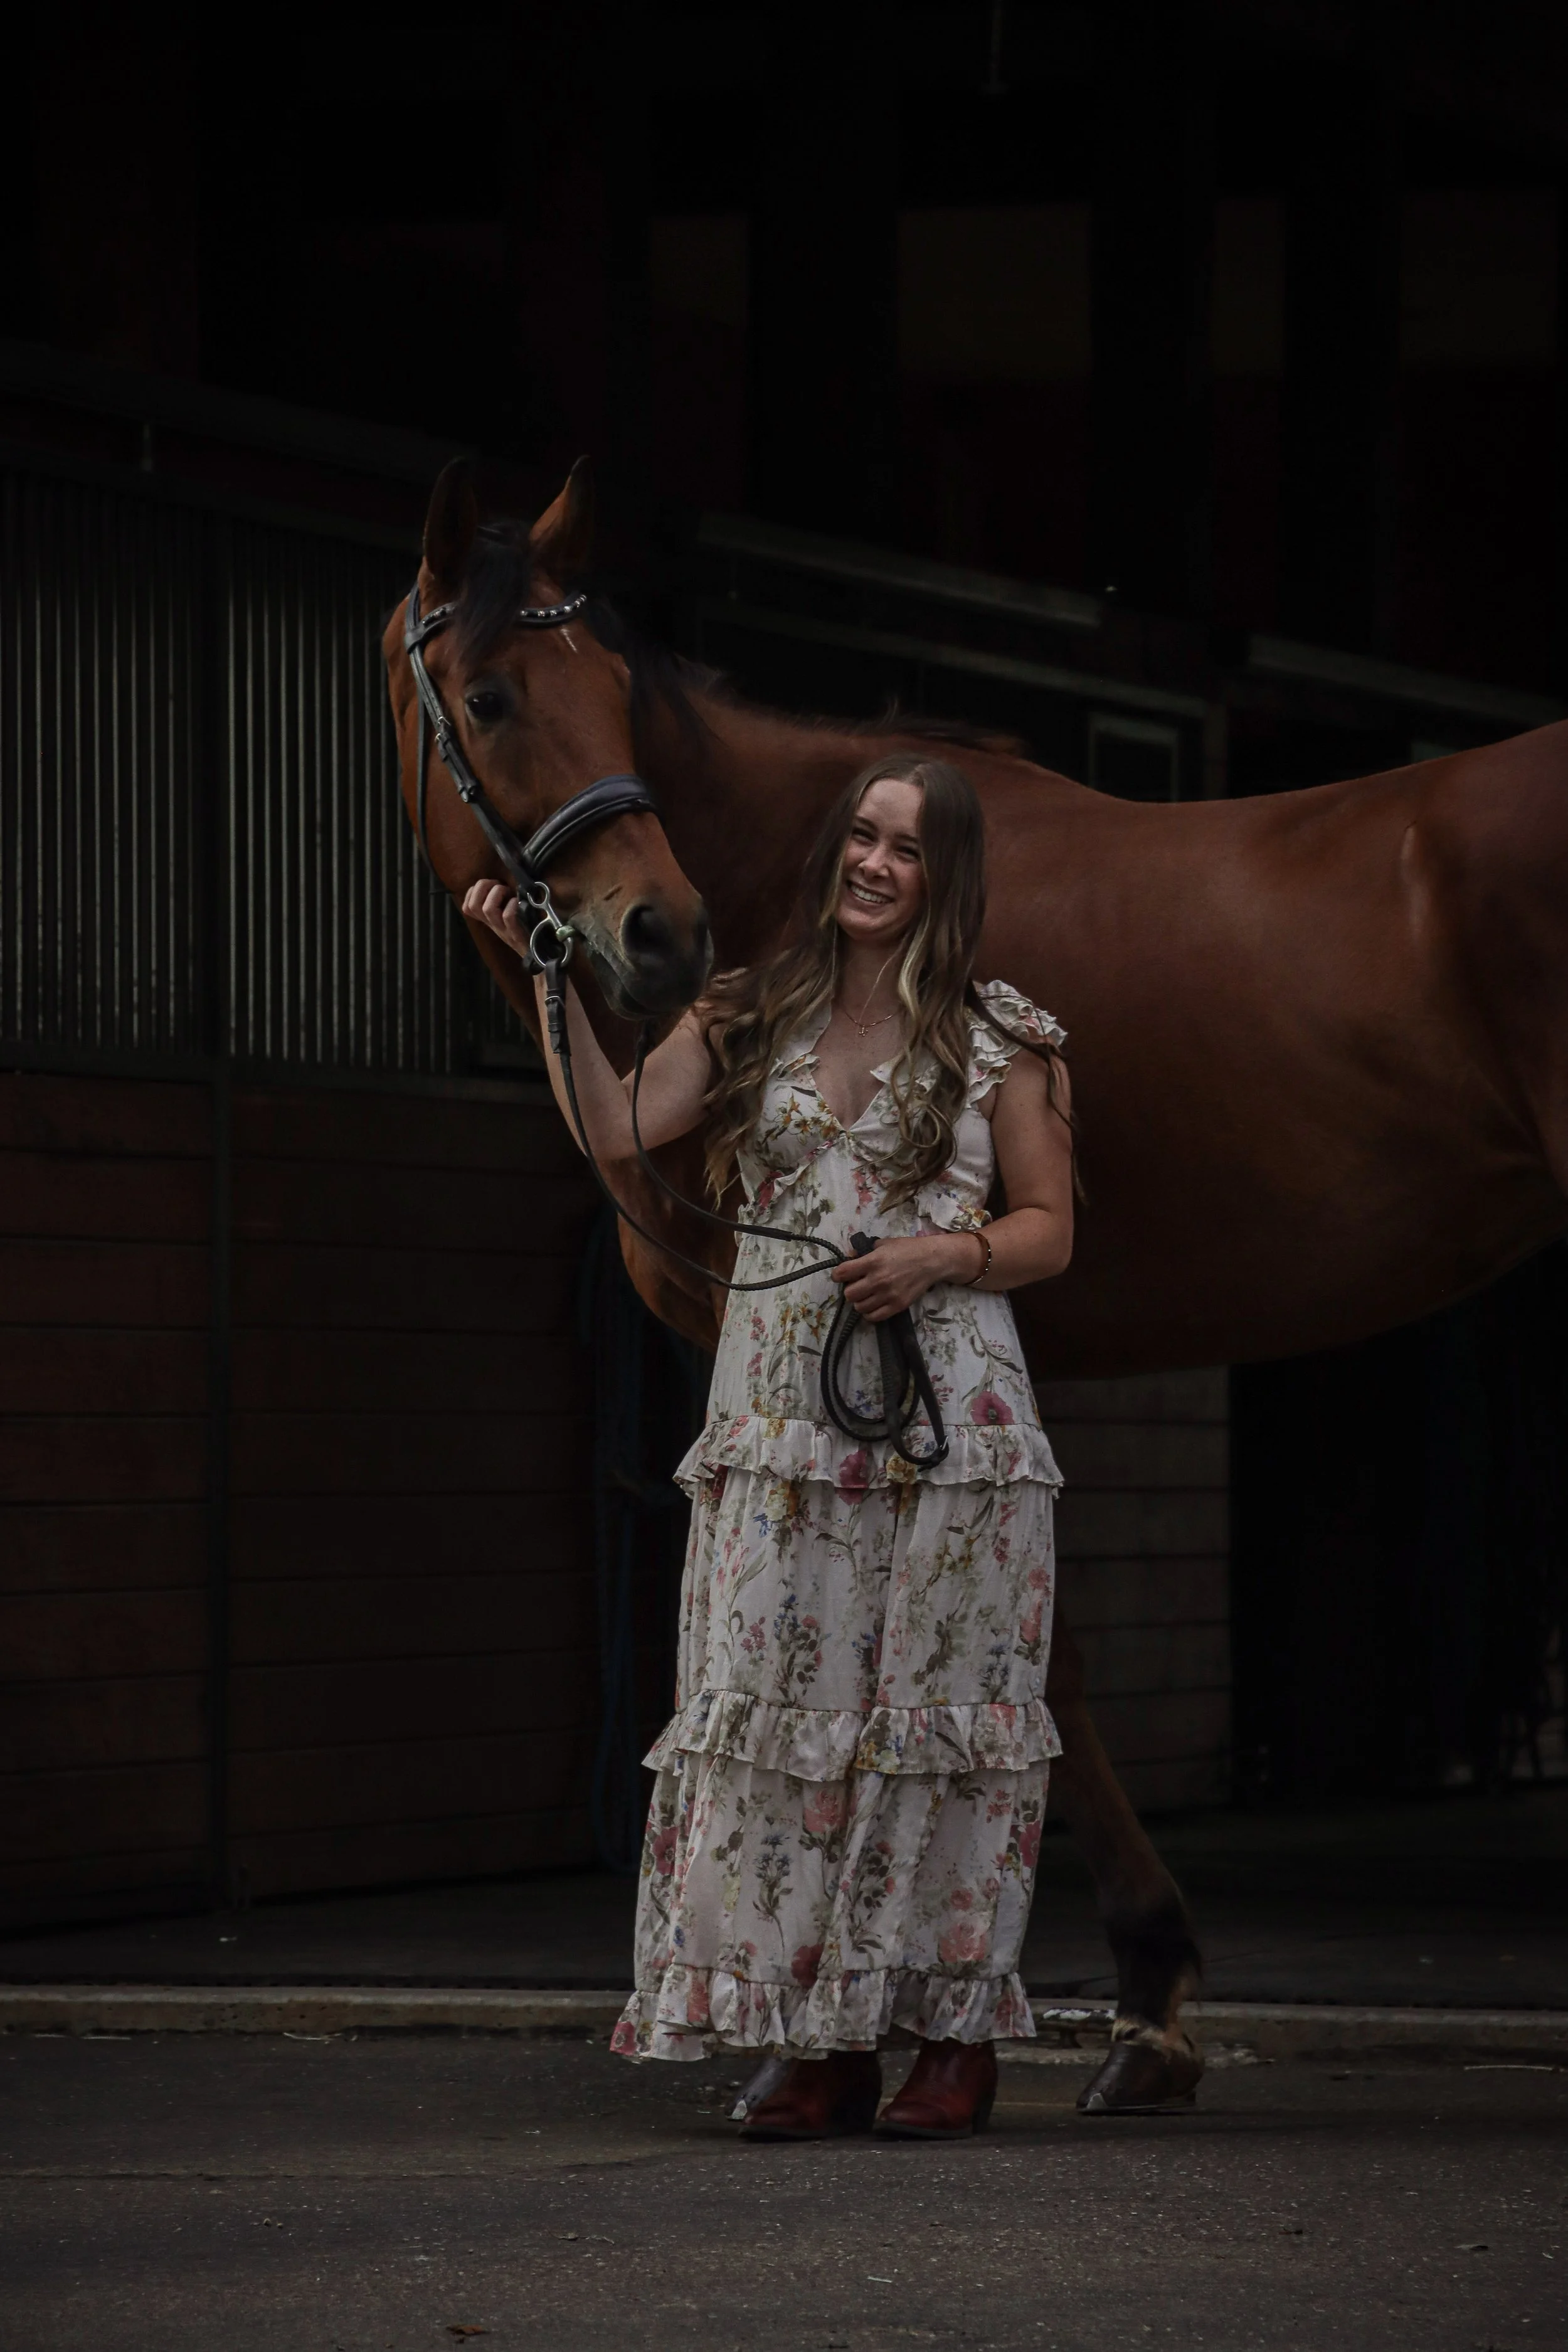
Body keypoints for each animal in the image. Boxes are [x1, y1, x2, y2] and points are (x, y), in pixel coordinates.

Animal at [385, 460, 1568, 2111]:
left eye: (609, 689)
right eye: (491, 695)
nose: (660, 937)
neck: (802, 873)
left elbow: (1031, 1658)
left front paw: (1123, 1994)